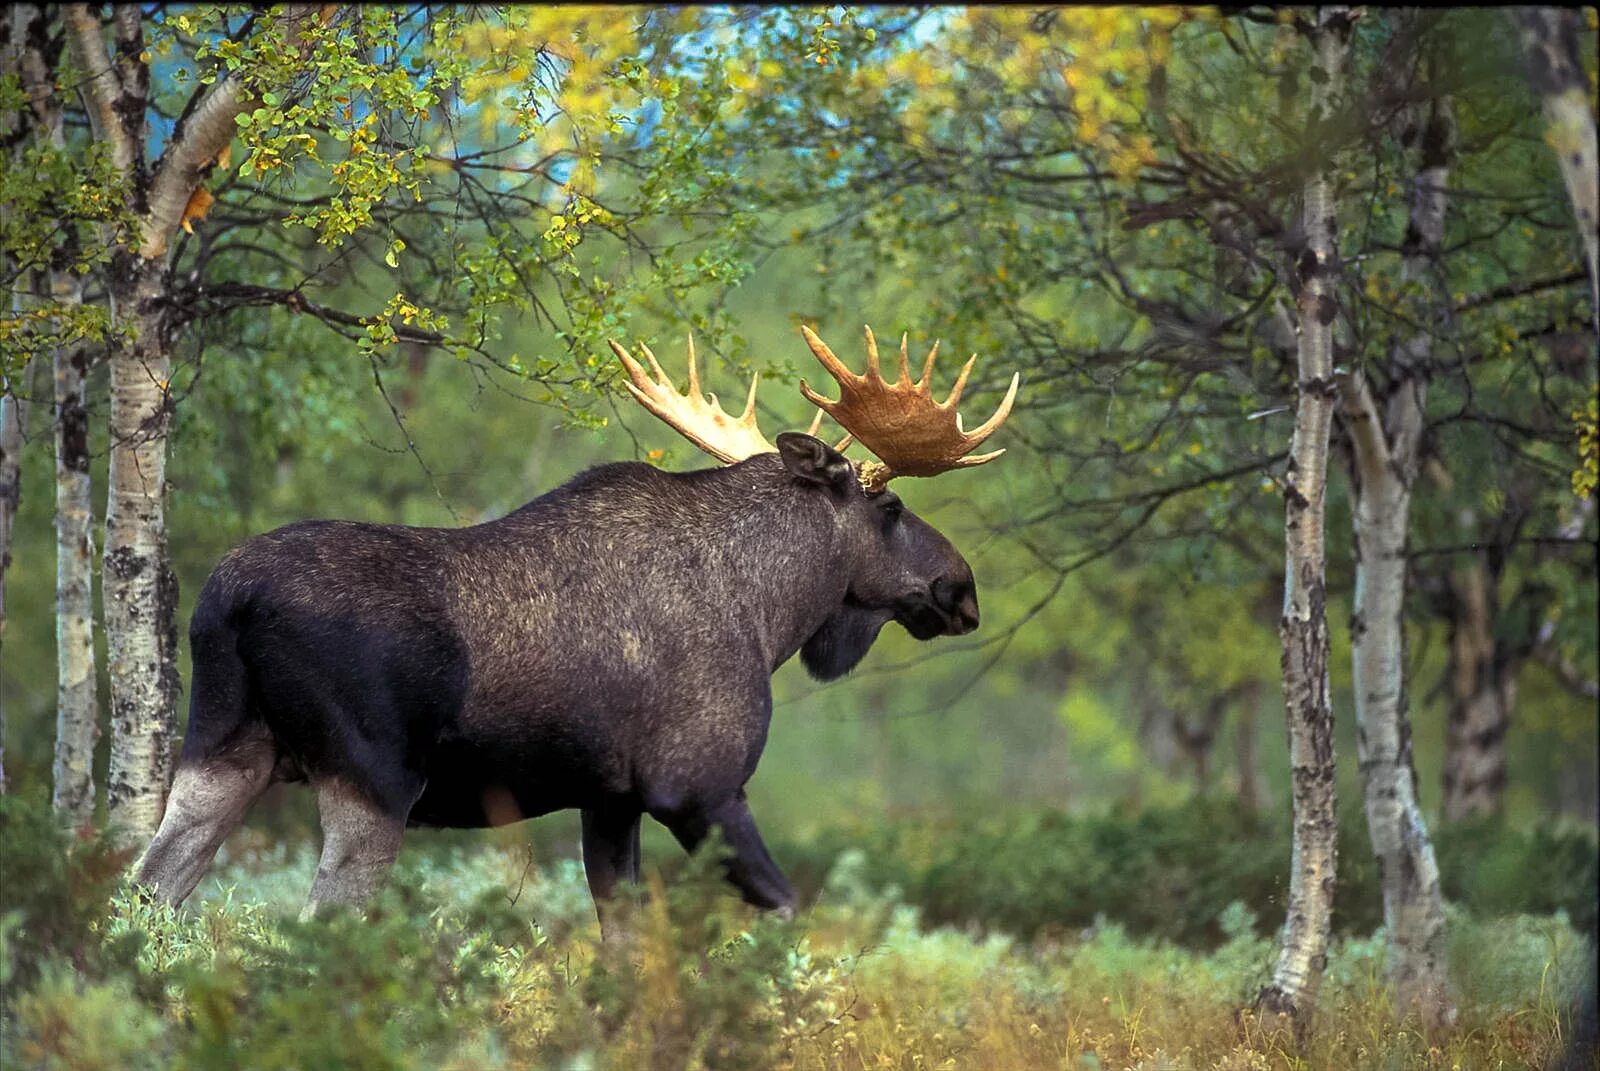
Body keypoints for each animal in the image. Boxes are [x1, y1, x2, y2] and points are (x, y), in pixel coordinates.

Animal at [131, 321, 1017, 922]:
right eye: (891, 508)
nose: (961, 587)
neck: (771, 612)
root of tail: (226, 603)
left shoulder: (610, 798)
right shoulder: (697, 785)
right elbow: (786, 911)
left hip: (223, 749)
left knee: (148, 891)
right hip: (372, 778)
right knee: (318, 919)